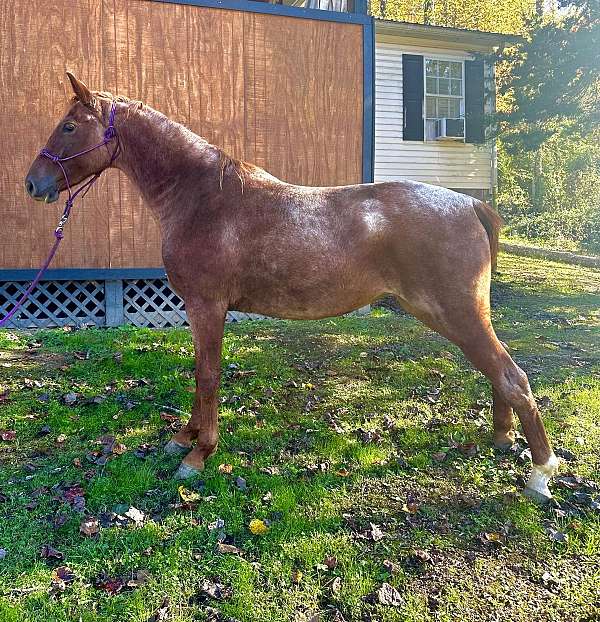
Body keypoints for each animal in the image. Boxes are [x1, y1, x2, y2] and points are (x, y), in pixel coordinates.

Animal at [23, 74, 556, 502]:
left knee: (512, 377)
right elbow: (199, 374)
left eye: (69, 125)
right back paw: (503, 440)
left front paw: (197, 455)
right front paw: (183, 437)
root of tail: (469, 204)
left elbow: (208, 377)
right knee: (499, 374)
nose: (32, 183)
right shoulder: (199, 310)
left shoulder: (207, 307)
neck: (202, 198)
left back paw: (540, 473)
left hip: (458, 313)